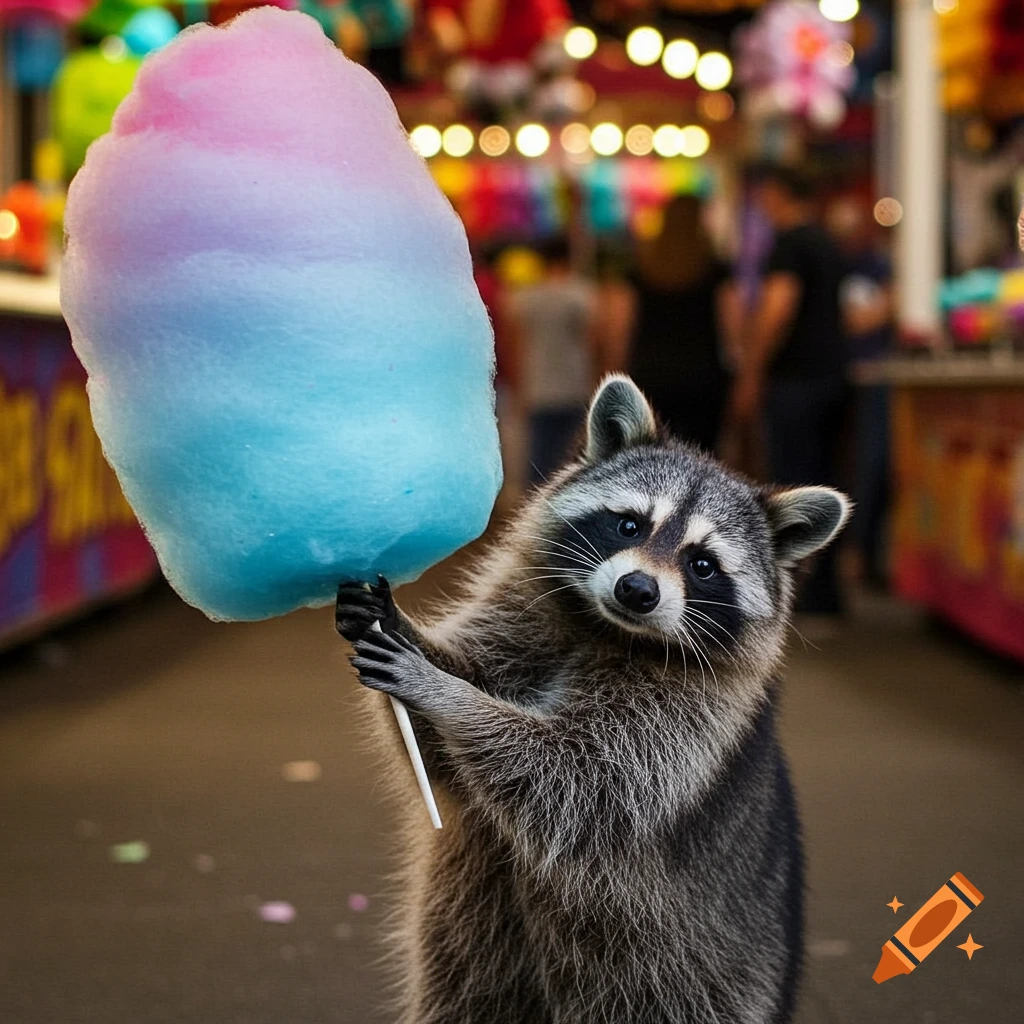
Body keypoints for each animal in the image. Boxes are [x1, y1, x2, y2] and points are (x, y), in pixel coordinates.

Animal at [336, 375, 851, 1024]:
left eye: (702, 564)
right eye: (629, 525)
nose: (637, 589)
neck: (607, 630)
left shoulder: (687, 721)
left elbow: (577, 776)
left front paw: (447, 694)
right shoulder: (524, 618)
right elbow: (442, 762)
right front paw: (405, 633)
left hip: (685, 983)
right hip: (469, 945)